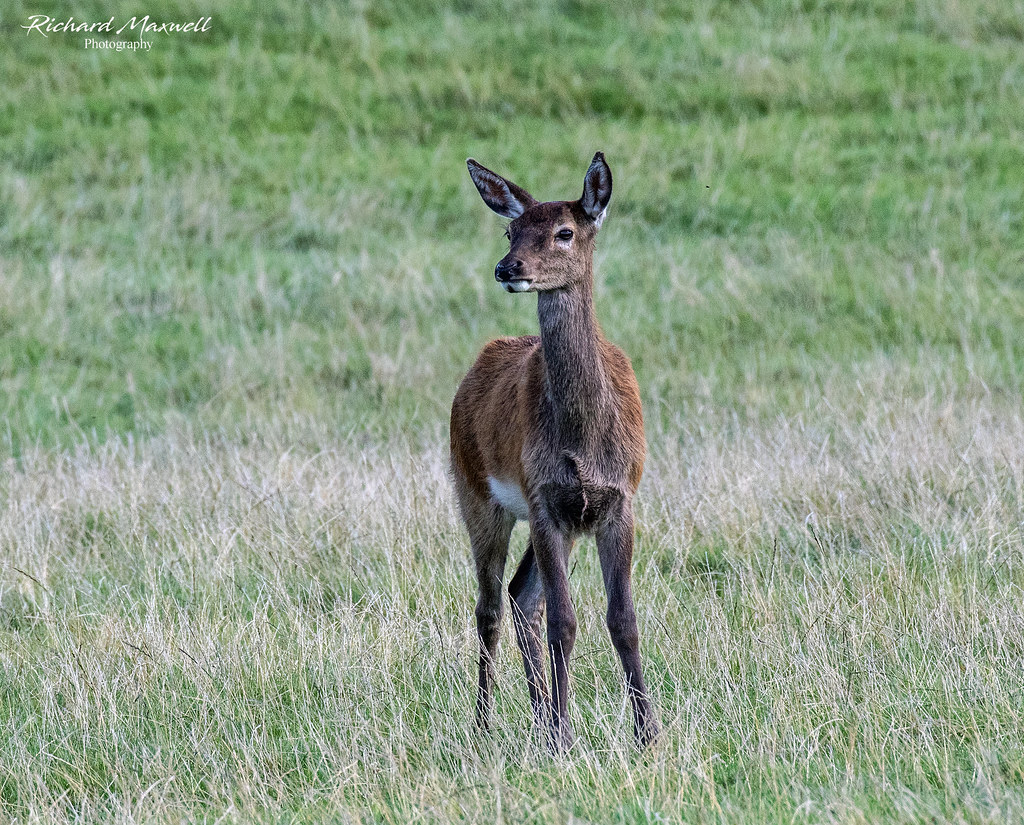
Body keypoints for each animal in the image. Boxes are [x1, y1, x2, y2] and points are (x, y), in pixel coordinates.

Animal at [450, 152, 659, 750]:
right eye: (511, 229)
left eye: (565, 231)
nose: (507, 267)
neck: (584, 443)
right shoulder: (543, 496)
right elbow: (565, 621)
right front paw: (566, 736)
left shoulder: (616, 501)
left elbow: (623, 619)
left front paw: (647, 733)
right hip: (477, 495)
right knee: (491, 605)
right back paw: (487, 720)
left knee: (523, 598)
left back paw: (539, 714)